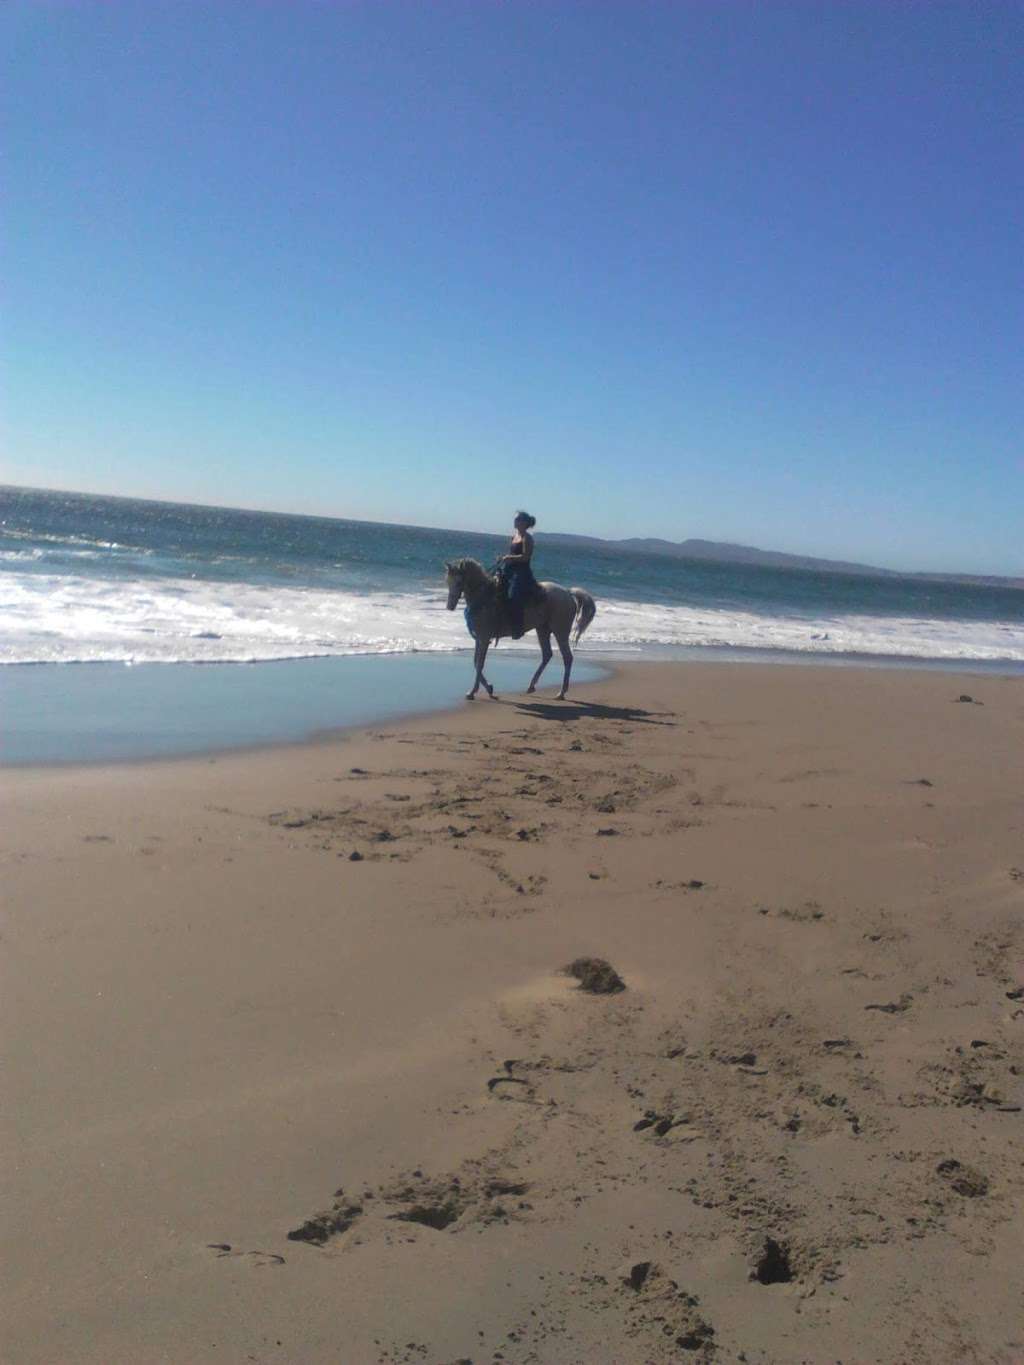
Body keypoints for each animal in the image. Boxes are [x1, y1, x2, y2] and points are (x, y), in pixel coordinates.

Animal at [445, 556, 598, 698]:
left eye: (458, 582)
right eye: (448, 581)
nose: (450, 606)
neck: (484, 597)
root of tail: (567, 592)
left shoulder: (484, 638)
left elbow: (479, 664)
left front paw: (473, 692)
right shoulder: (480, 639)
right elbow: (476, 662)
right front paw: (489, 688)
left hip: (560, 631)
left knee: (567, 657)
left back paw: (561, 692)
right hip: (542, 629)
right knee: (547, 654)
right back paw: (531, 686)